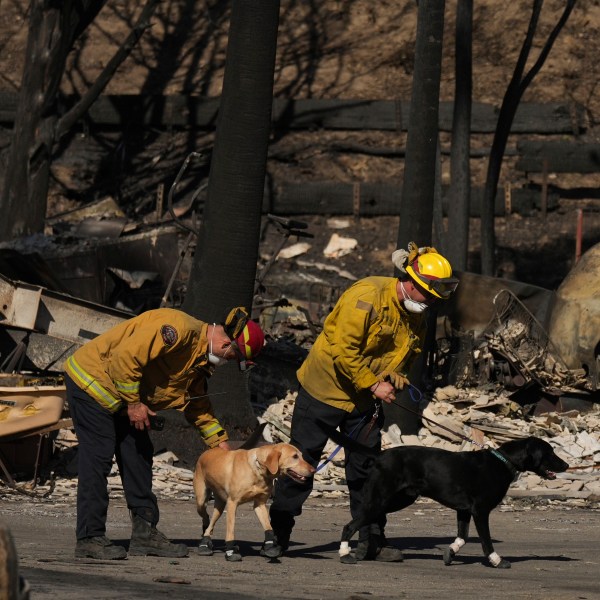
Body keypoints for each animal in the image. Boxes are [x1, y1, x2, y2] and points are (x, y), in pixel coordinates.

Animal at [318, 424, 568, 568]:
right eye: (549, 452)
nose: (566, 465)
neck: (503, 462)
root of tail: (380, 455)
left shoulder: (464, 511)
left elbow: (463, 537)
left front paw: (450, 553)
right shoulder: (480, 511)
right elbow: (486, 541)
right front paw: (496, 560)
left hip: (396, 500)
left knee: (364, 522)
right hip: (381, 501)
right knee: (350, 525)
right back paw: (345, 553)